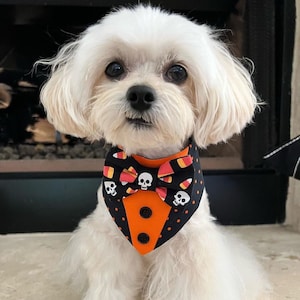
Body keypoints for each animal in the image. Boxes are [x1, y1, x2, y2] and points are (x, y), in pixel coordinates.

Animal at [38, 4, 270, 300]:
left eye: (178, 72)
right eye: (114, 68)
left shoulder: (189, 251)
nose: (139, 94)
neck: (148, 168)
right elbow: (111, 285)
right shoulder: (110, 245)